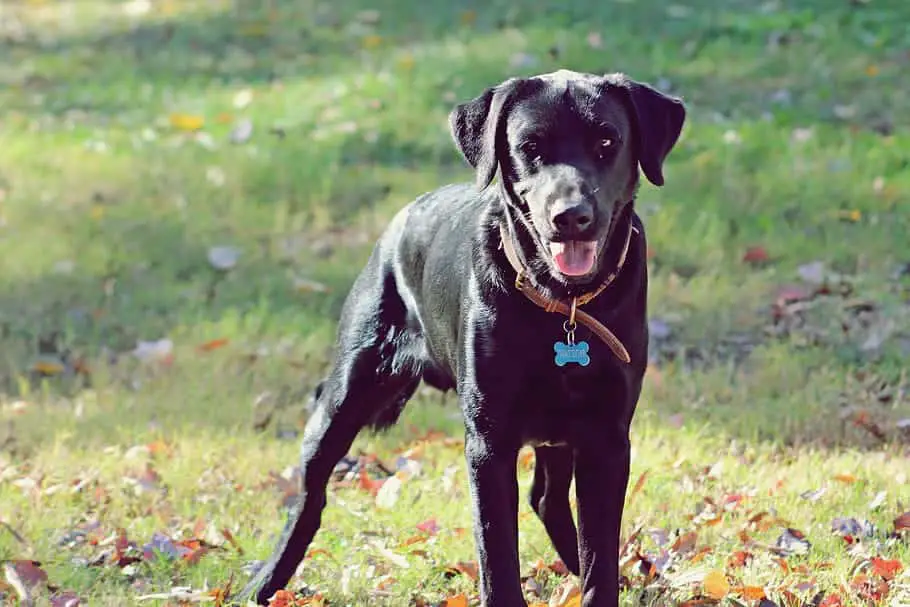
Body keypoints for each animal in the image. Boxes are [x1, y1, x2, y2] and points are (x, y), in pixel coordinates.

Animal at [242, 69, 684, 604]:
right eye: (530, 146)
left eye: (606, 141)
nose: (571, 216)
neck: (563, 305)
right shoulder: (488, 443)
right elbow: (497, 556)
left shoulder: (607, 437)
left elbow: (599, 556)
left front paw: (596, 577)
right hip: (345, 395)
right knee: (310, 493)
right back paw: (266, 581)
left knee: (547, 499)